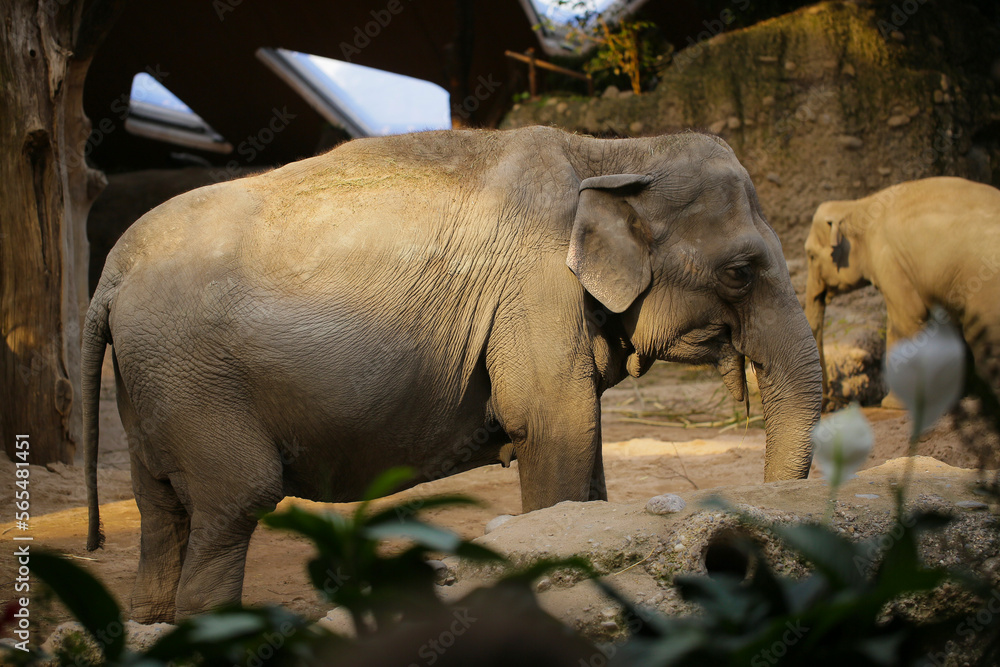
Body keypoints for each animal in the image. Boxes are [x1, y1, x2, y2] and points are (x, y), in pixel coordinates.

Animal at [82, 126, 822, 623]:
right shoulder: (535, 286)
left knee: (161, 509)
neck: (614, 152)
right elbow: (556, 423)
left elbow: (582, 434)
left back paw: (150, 619)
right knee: (235, 501)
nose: (737, 553)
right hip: (196, 382)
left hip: (153, 384)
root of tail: (110, 273)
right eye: (741, 271)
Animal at [804, 176, 1000, 407]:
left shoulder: (889, 258)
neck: (858, 205)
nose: (829, 403)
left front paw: (892, 404)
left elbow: (907, 317)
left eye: (811, 256)